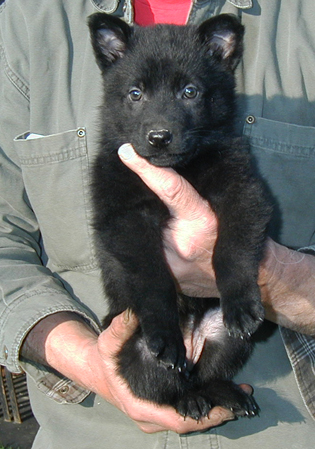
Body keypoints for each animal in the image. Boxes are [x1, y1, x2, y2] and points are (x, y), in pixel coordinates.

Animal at [88, 14, 272, 420]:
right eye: (135, 94)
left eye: (190, 92)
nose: (159, 137)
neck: (180, 168)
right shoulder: (125, 217)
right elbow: (152, 276)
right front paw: (164, 332)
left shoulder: (241, 189)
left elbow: (232, 248)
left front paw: (241, 303)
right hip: (137, 353)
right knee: (169, 387)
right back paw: (188, 398)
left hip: (224, 340)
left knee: (205, 374)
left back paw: (227, 393)